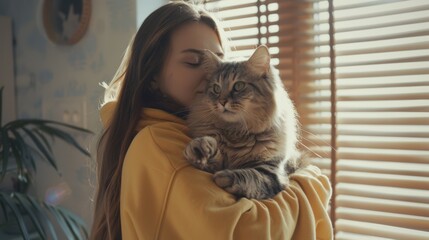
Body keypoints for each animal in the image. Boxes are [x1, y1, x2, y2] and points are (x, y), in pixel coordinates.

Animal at [183, 45, 300, 199]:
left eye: (238, 86)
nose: (222, 102)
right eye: (216, 88)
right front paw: (201, 149)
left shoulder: (271, 171)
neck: (237, 131)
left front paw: (226, 177)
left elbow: (251, 175)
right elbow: (213, 151)